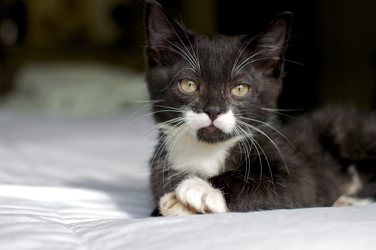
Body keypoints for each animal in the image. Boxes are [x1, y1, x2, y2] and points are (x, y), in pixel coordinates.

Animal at [144, 0, 376, 216]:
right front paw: (176, 204)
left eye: (240, 89)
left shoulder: (298, 168)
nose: (213, 110)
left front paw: (202, 188)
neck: (207, 152)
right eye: (188, 85)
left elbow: (292, 184)